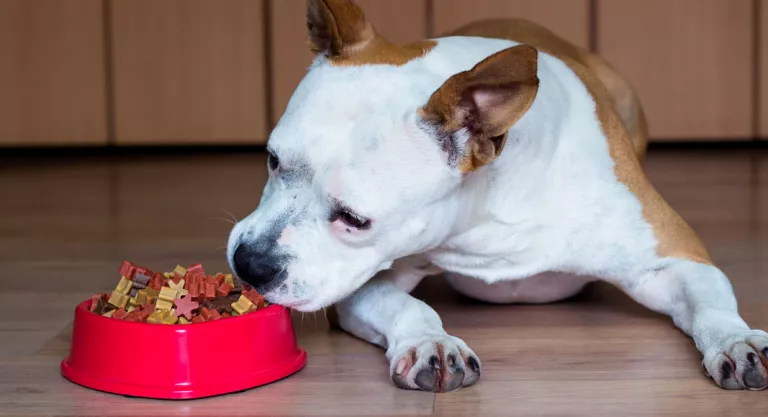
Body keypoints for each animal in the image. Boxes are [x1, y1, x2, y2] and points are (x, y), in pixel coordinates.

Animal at [226, 0, 768, 392]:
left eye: (355, 220)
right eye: (272, 160)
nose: (250, 263)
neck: (485, 213)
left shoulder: (676, 260)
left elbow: (710, 304)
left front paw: (737, 339)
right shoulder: (361, 281)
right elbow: (404, 305)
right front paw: (432, 341)